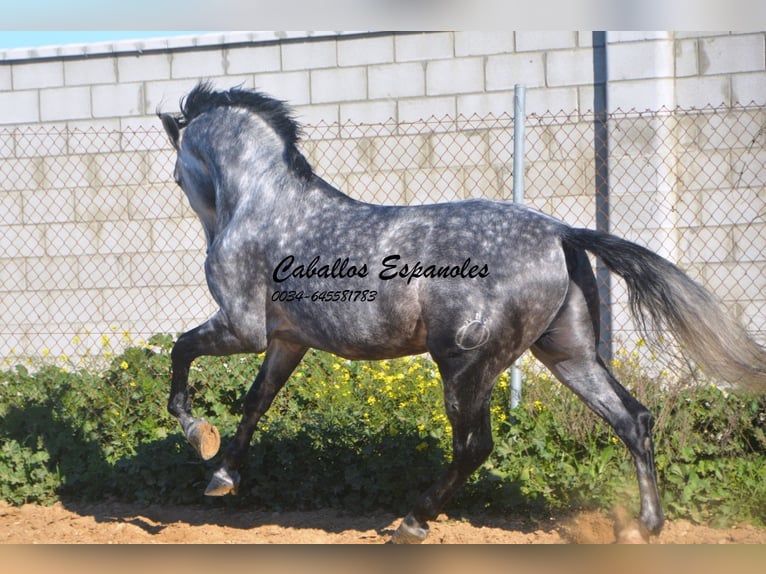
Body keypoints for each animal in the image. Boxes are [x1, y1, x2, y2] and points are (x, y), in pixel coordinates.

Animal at [158, 82, 766, 544]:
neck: (266, 205)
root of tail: (561, 233)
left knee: (474, 446)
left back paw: (412, 521)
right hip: (567, 353)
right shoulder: (287, 340)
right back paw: (645, 526)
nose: (206, 226)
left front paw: (198, 435)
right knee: (631, 419)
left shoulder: (244, 328)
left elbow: (182, 351)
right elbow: (256, 403)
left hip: (465, 363)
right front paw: (222, 475)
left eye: (177, 172)